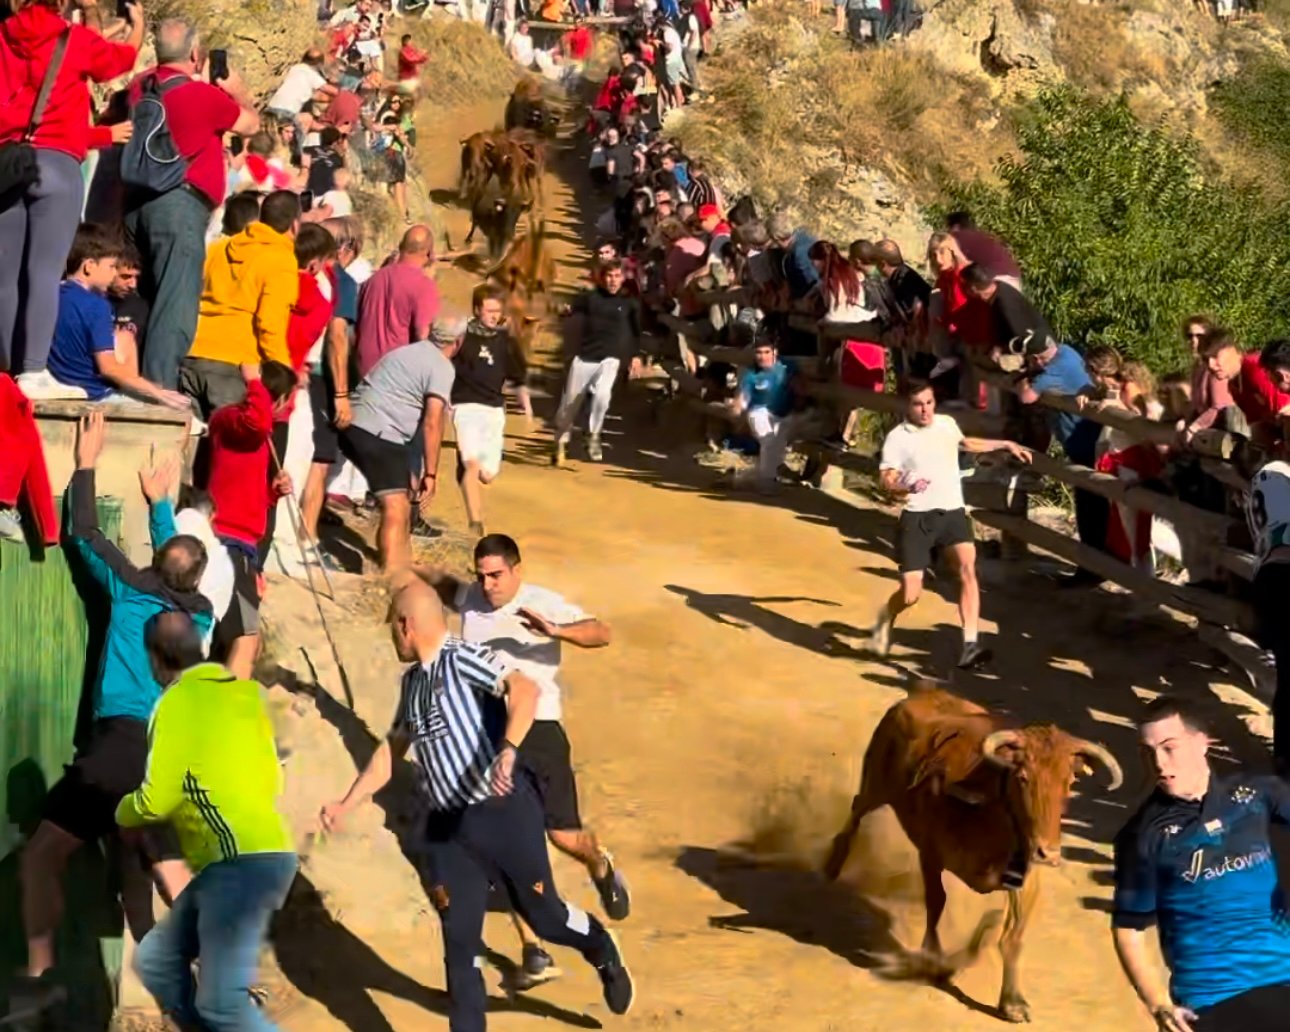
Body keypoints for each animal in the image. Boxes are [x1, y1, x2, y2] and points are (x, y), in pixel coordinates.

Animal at [825, 686, 1119, 1021]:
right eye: (1023, 777)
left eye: (1069, 781)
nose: (1048, 852)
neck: (992, 811)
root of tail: (922, 692)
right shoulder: (931, 854)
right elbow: (937, 903)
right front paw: (934, 962)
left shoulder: (1026, 880)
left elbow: (1013, 937)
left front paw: (1012, 1002)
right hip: (877, 783)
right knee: (858, 806)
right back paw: (833, 864)